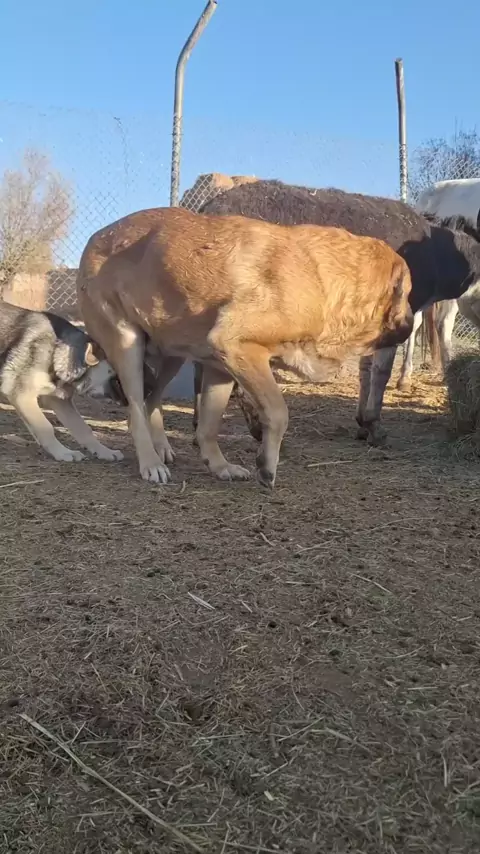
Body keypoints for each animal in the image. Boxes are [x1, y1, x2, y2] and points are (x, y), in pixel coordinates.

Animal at [0, 300, 125, 463]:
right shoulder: (21, 394)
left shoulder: (59, 401)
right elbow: (46, 427)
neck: (56, 352)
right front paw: (62, 452)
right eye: (117, 378)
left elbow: (83, 428)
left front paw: (104, 451)